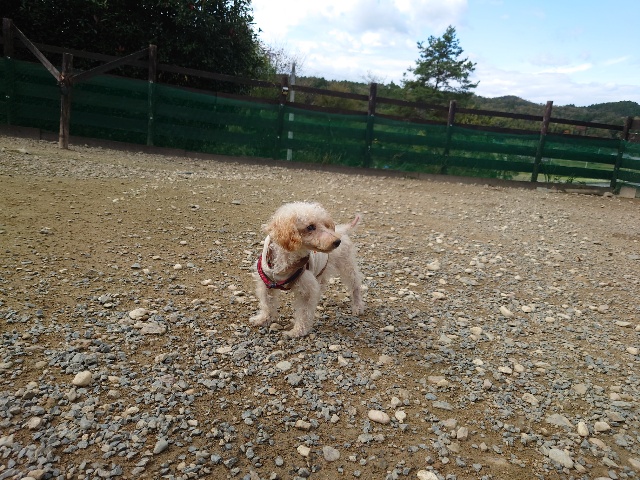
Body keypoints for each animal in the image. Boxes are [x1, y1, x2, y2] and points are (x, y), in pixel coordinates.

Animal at [250, 202, 365, 338]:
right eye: (310, 227)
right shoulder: (266, 283)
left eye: (326, 225)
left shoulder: (306, 290)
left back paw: (357, 306)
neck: (286, 262)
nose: (337, 241)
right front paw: (263, 319)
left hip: (347, 266)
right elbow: (266, 303)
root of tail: (342, 230)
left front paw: (297, 331)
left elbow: (303, 313)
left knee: (355, 285)